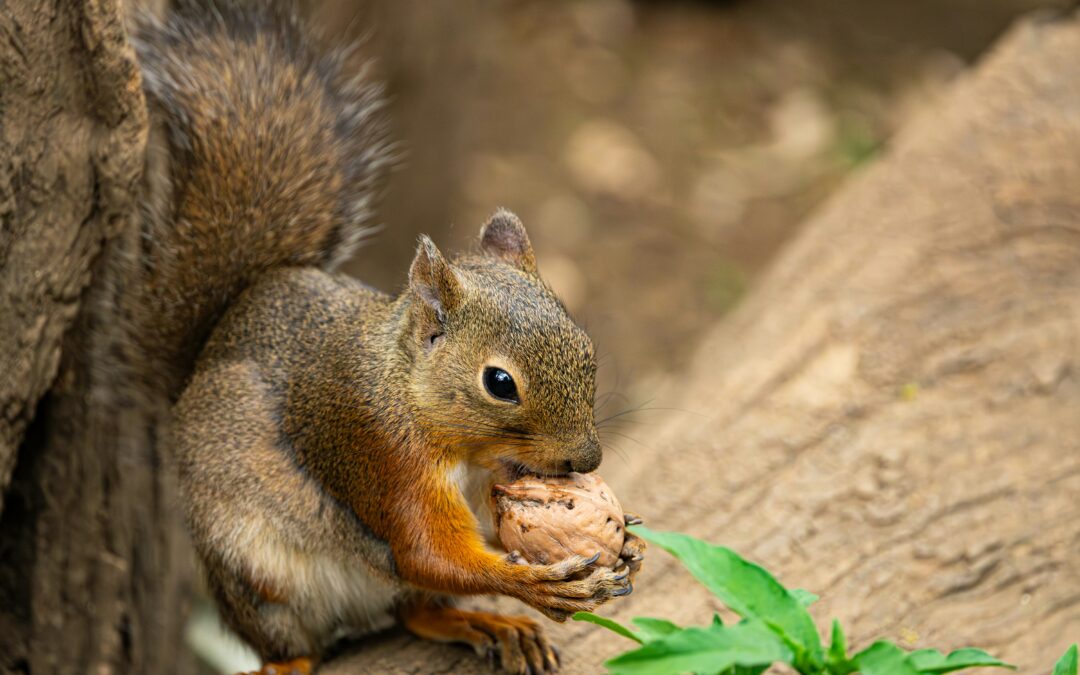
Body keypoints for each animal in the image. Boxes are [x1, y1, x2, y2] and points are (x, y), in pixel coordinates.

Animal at [130, 3, 645, 674]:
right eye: (499, 383)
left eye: (586, 348)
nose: (587, 460)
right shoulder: (381, 453)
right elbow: (426, 551)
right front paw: (534, 587)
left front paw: (626, 538)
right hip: (253, 576)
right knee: (299, 634)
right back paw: (290, 662)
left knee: (415, 610)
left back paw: (484, 624)